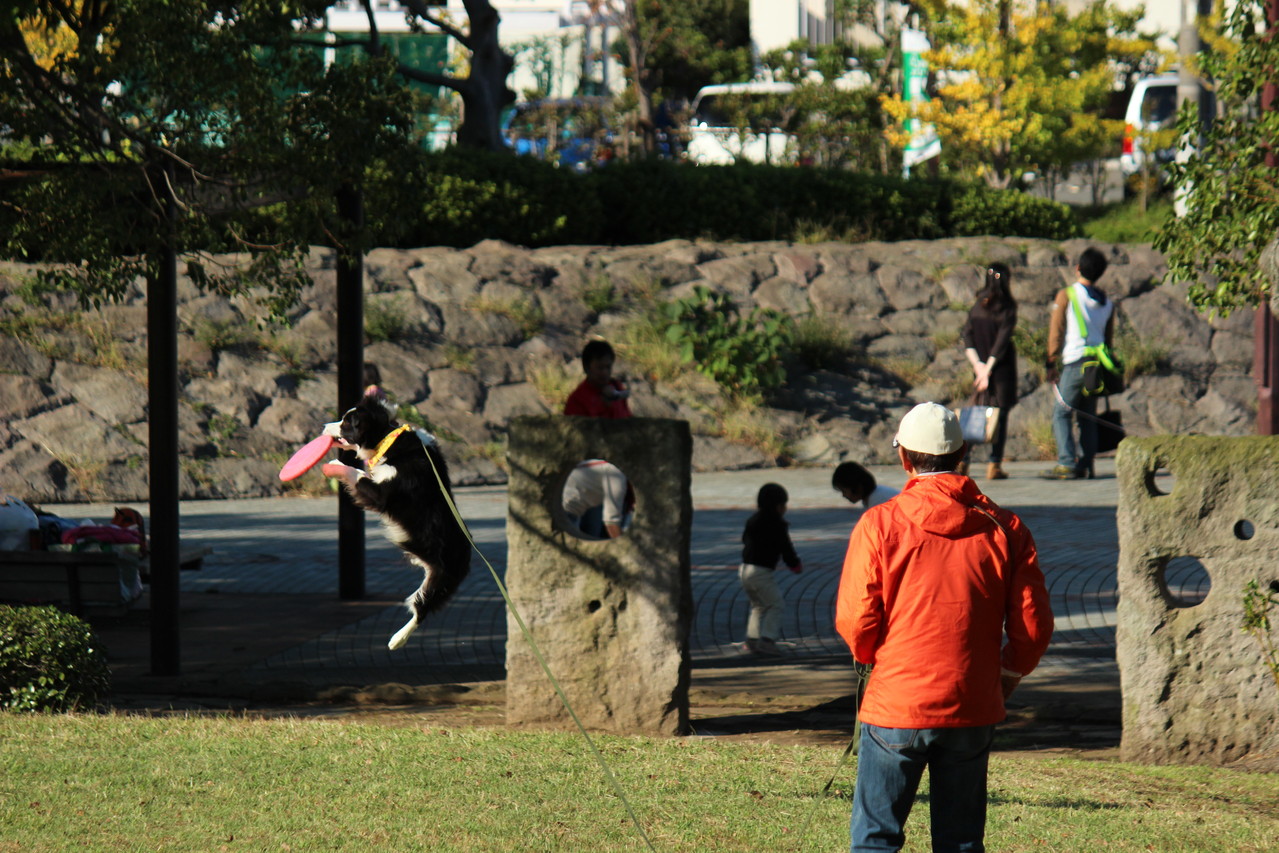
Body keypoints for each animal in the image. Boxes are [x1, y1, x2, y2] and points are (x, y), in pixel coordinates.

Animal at [322, 391, 473, 647]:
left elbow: (358, 474)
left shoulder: (381, 493)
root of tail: (470, 553)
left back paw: (397, 639)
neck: (386, 438)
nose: (324, 426)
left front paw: (335, 465)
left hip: (440, 580)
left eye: (345, 423)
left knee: (421, 608)